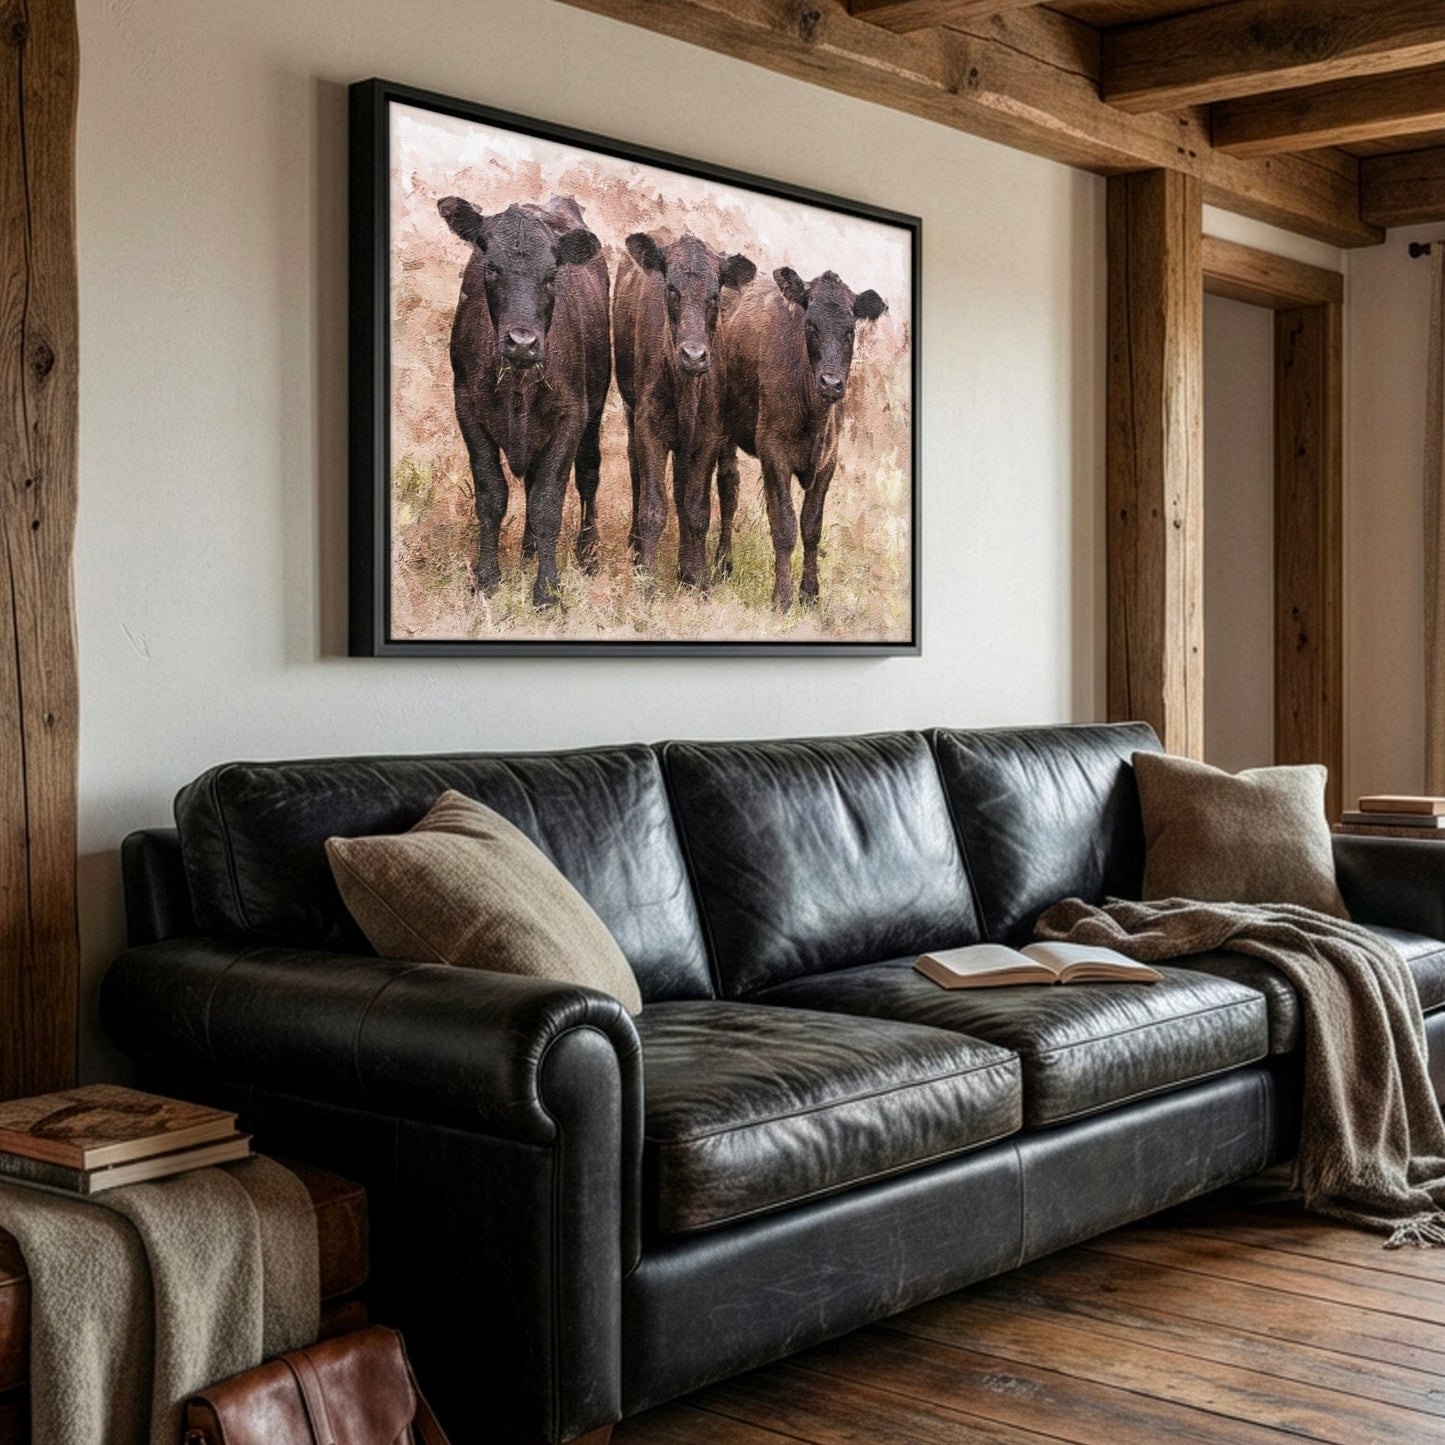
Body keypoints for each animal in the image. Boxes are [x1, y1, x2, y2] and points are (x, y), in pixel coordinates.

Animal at [437, 193, 611, 607]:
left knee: (588, 476)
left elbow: (548, 502)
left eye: (551, 276)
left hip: (595, 409)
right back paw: (528, 553)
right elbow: (491, 495)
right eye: (491, 268)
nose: (522, 342)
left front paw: (547, 590)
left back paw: (587, 554)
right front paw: (486, 578)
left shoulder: (572, 415)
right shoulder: (467, 409)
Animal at [612, 232, 756, 588]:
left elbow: (697, 508)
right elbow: (653, 507)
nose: (694, 355)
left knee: (713, 486)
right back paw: (636, 547)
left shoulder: (709, 436)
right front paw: (646, 580)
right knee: (637, 472)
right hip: (630, 409)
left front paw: (698, 577)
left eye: (715, 294)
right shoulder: (648, 427)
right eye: (671, 289)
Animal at [715, 268, 887, 610]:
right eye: (811, 325)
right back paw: (723, 564)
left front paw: (810, 592)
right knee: (728, 489)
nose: (831, 383)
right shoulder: (772, 451)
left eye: (850, 331)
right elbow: (784, 525)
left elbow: (811, 526)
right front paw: (782, 597)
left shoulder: (828, 459)